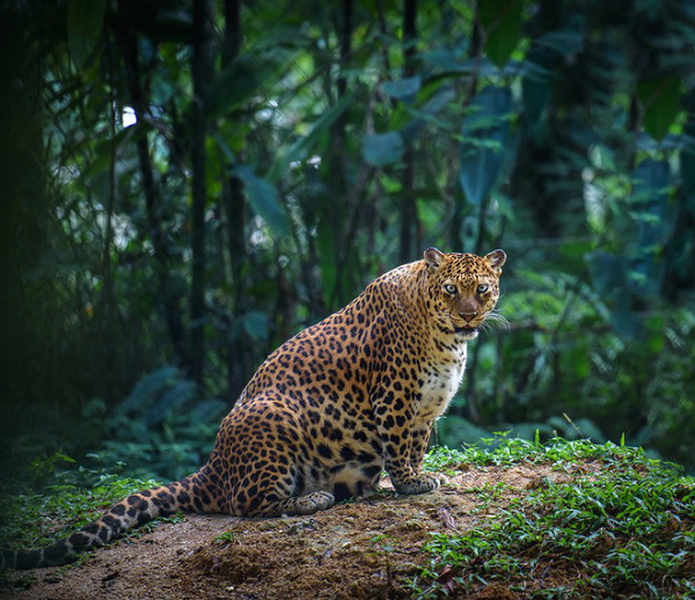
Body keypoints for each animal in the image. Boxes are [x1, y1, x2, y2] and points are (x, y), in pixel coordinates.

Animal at [2, 246, 508, 568]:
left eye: (482, 289)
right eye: (450, 290)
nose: (467, 314)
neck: (448, 339)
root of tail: (212, 466)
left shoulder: (427, 408)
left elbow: (415, 446)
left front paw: (419, 476)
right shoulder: (394, 397)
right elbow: (400, 447)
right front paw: (410, 484)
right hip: (273, 417)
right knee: (246, 504)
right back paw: (312, 499)